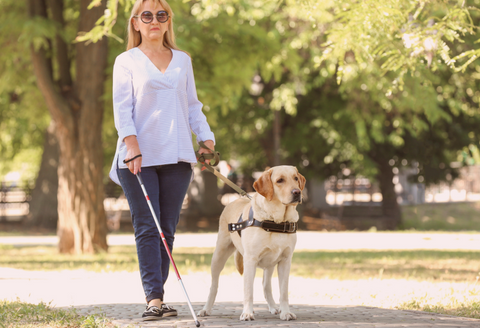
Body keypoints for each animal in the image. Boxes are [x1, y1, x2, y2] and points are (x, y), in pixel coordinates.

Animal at [197, 167, 306, 320]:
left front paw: (285, 312)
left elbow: (283, 292)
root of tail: (235, 200)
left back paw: (274, 308)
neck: (275, 222)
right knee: (214, 286)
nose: (297, 192)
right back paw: (206, 309)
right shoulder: (250, 260)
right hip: (219, 255)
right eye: (280, 180)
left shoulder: (285, 261)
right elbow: (248, 291)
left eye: (296, 178)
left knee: (266, 285)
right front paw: (247, 313)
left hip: (270, 263)